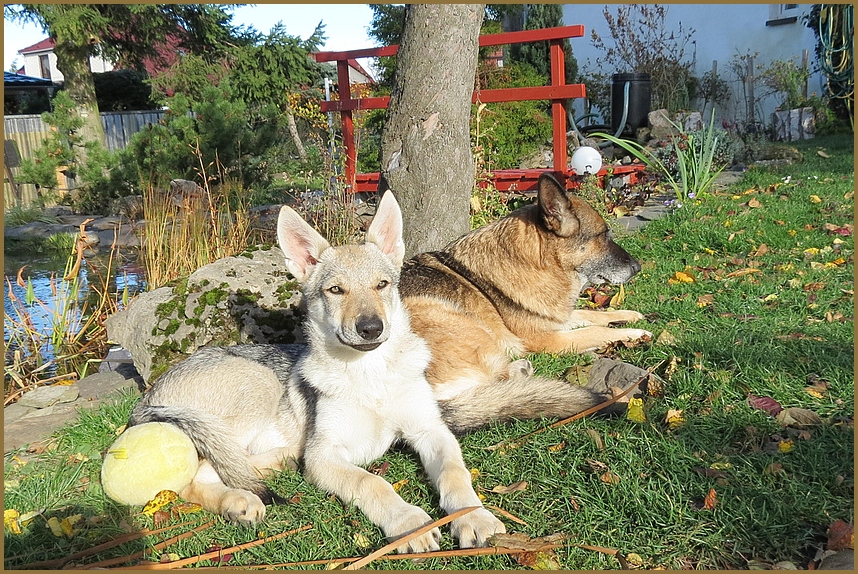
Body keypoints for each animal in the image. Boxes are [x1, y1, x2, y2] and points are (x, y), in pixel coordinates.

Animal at [126, 192, 502, 552]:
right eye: (335, 290)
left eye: (382, 285)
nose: (371, 328)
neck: (370, 377)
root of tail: (149, 395)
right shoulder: (325, 455)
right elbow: (372, 481)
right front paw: (410, 521)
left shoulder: (431, 431)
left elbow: (456, 474)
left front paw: (475, 516)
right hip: (259, 386)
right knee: (197, 476)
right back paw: (238, 501)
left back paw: (277, 463)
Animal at [402, 173, 648, 434]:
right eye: (603, 235)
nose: (638, 267)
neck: (537, 263)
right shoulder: (547, 339)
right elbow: (594, 330)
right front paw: (636, 333)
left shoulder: (554, 318)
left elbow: (592, 315)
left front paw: (629, 315)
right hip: (467, 328)